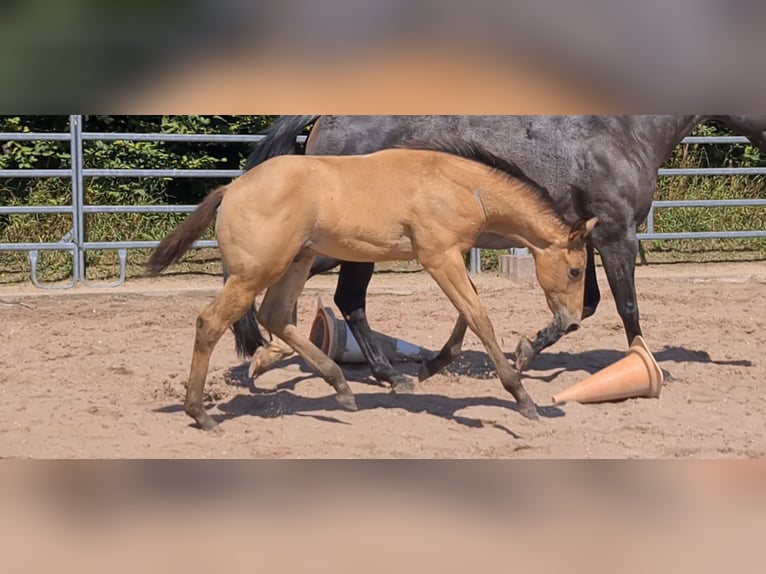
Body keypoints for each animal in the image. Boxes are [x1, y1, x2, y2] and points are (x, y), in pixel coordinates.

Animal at [230, 117, 766, 394]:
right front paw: (648, 366)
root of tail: (325, 120)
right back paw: (379, 373)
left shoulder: (580, 242)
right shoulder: (617, 235)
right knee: (340, 297)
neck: (617, 134)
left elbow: (584, 307)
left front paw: (521, 352)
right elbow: (626, 307)